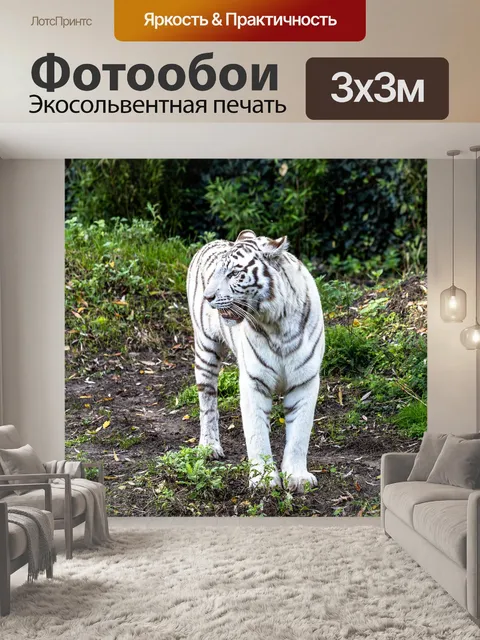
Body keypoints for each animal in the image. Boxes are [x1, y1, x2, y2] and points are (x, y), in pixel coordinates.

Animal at [186, 229, 325, 492]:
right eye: (219, 273)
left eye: (233, 273)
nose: (209, 296)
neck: (278, 322)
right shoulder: (253, 381)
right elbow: (256, 433)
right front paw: (263, 479)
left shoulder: (305, 381)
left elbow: (300, 434)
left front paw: (297, 477)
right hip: (206, 348)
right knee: (207, 400)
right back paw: (209, 446)